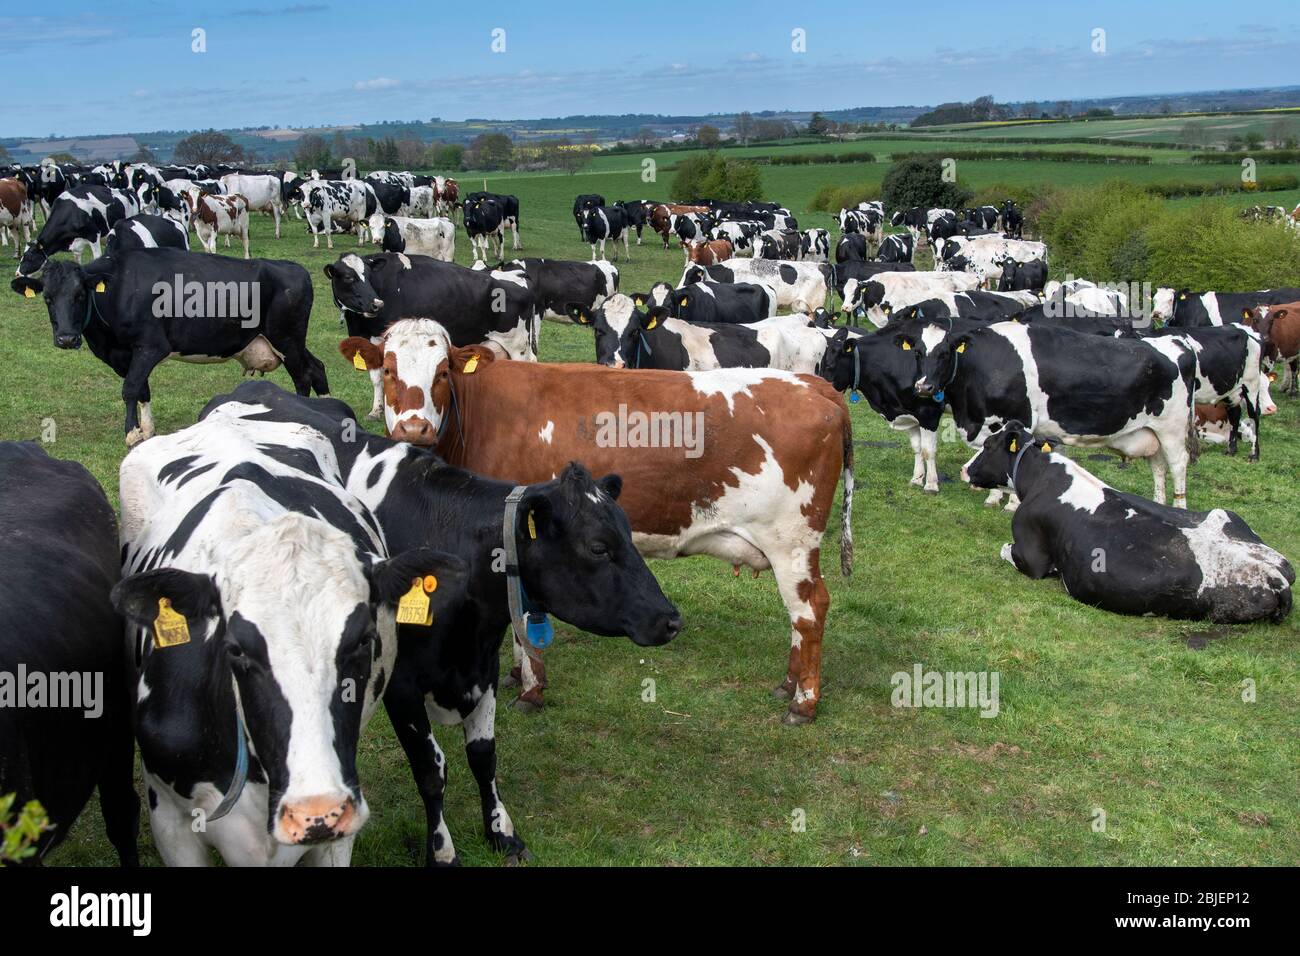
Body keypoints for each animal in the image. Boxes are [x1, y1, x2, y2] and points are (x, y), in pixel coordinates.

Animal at [11, 248, 328, 445]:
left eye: (79, 295)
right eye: (48, 298)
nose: (66, 338)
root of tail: (294, 267)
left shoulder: (151, 346)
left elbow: (130, 388)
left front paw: (131, 433)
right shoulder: (127, 354)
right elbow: (142, 389)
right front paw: (147, 429)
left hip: (286, 339)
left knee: (303, 376)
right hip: (290, 341)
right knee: (317, 368)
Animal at [201, 380, 680, 863]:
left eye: (628, 534)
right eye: (599, 547)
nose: (670, 619)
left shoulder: (484, 670)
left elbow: (484, 756)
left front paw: (500, 831)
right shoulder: (401, 686)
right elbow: (432, 771)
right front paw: (442, 848)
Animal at [345, 325, 854, 723]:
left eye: (442, 373)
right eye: (388, 370)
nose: (414, 430)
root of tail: (814, 385)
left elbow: (523, 617)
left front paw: (531, 689)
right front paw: (517, 676)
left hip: (792, 542)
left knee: (810, 610)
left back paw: (803, 702)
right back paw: (788, 684)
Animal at [905, 318, 1198, 508]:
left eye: (945, 353)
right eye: (918, 353)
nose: (924, 387)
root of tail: (1176, 341)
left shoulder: (1021, 419)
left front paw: (1011, 502)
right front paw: (994, 497)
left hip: (1172, 429)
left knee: (1178, 464)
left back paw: (1179, 507)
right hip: (1151, 431)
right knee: (1158, 466)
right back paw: (1160, 505)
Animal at [962, 423, 1292, 622]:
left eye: (988, 445)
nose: (965, 469)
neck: (1040, 477)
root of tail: (1275, 575)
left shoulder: (1032, 558)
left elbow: (1004, 549)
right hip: (1226, 514)